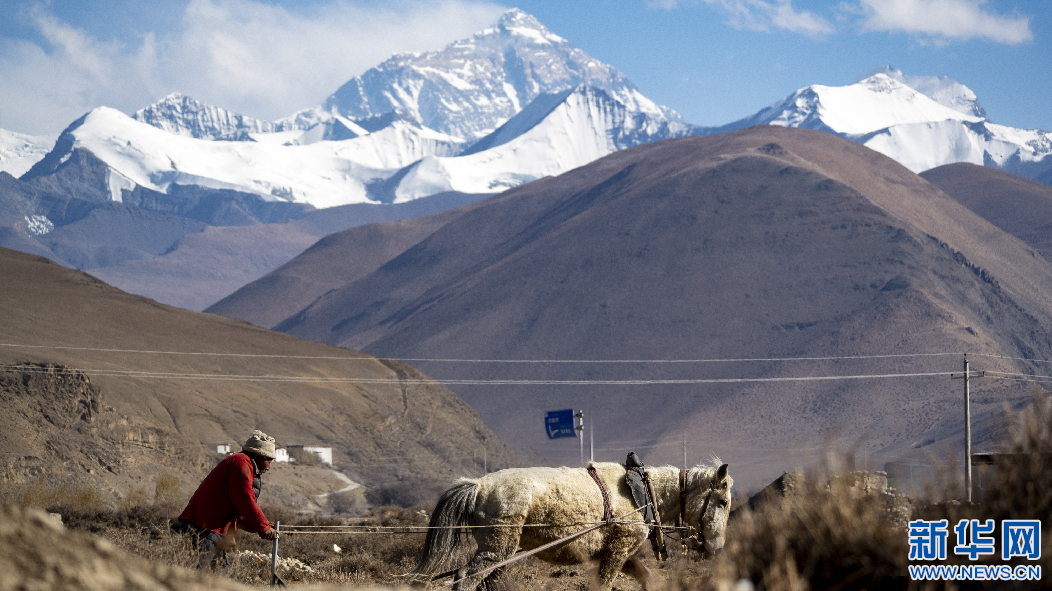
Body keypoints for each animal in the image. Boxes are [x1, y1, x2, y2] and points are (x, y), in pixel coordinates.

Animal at [411, 458, 732, 590]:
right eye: (723, 502)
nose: (717, 548)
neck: (640, 493)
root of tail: (477, 485)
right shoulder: (617, 552)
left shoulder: (619, 555)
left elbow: (648, 579)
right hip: (496, 549)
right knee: (465, 577)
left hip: (500, 555)